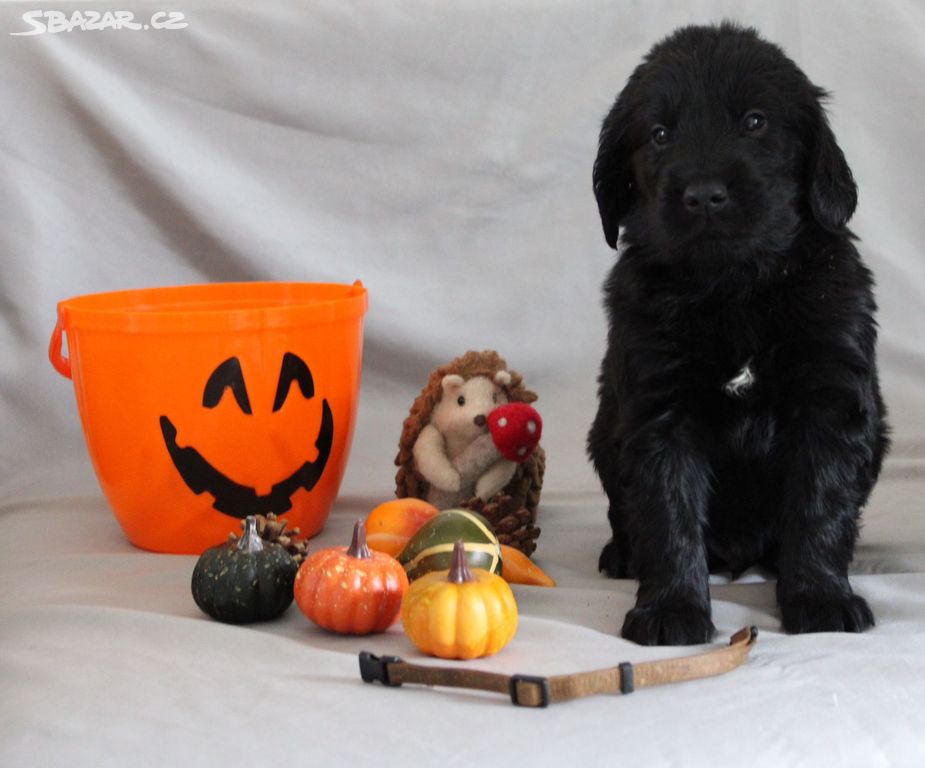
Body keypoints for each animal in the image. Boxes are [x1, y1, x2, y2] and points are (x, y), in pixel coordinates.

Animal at [592, 24, 888, 644]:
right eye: (659, 134)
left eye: (755, 122)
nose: (705, 194)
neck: (735, 290)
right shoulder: (660, 407)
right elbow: (667, 511)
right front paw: (671, 609)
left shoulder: (828, 397)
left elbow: (821, 502)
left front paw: (821, 596)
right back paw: (623, 554)